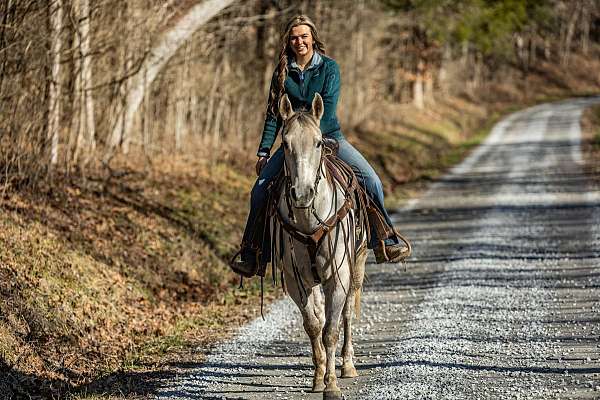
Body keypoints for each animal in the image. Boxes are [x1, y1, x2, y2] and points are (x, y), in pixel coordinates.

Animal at [270, 92, 366, 398]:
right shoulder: (297, 280)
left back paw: (347, 365)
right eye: (285, 143)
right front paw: (318, 378)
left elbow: (331, 330)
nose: (302, 194)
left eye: (318, 142)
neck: (308, 221)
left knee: (346, 313)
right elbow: (314, 326)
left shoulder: (337, 276)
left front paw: (332, 385)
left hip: (356, 265)